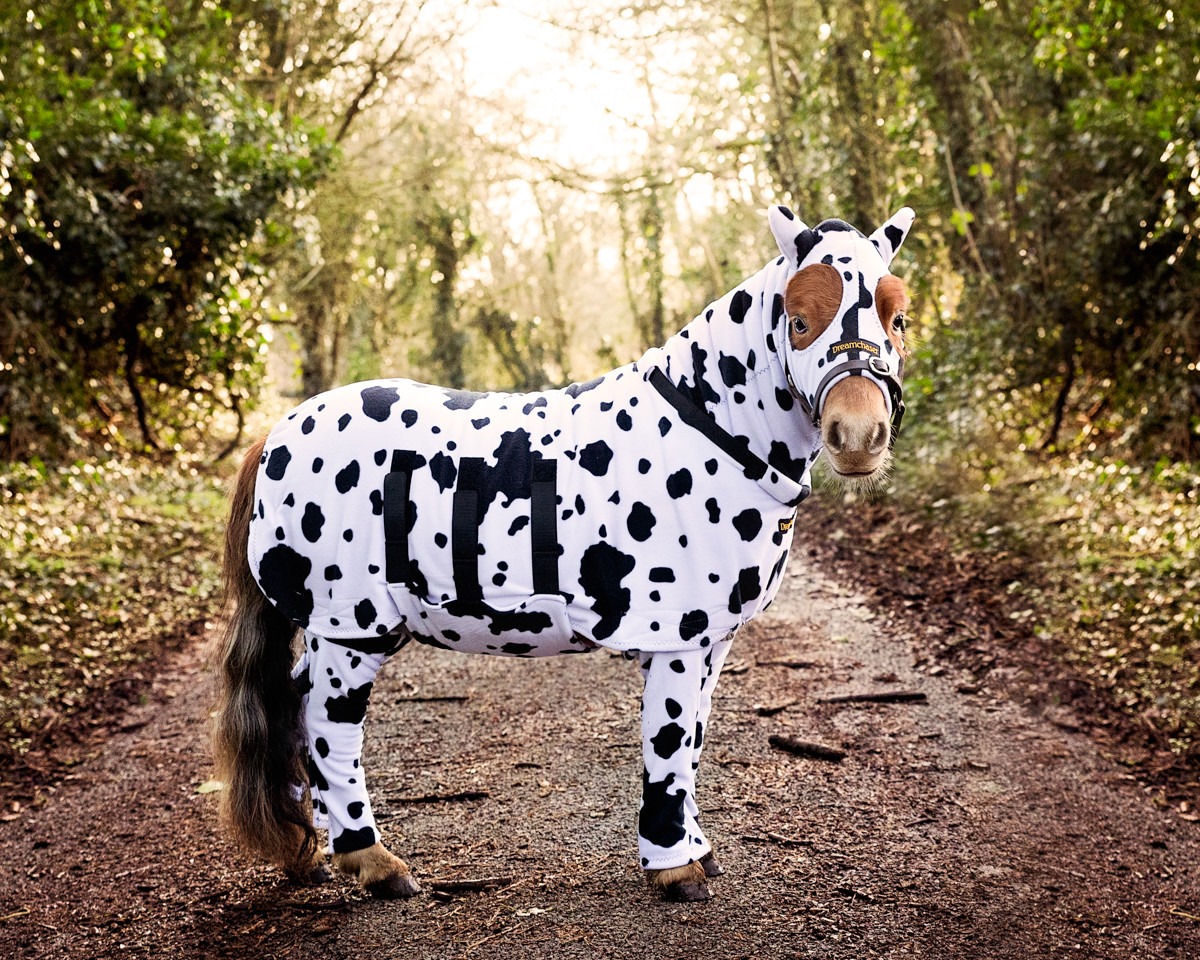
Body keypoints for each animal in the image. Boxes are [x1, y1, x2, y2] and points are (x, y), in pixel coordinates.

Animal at [212, 204, 915, 902]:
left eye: (897, 318)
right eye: (799, 321)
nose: (858, 434)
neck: (703, 432)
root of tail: (273, 433)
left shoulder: (712, 641)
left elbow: (692, 742)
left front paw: (696, 850)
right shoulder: (676, 640)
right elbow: (667, 745)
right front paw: (674, 867)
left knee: (294, 715)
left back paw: (314, 852)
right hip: (351, 630)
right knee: (328, 730)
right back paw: (374, 863)